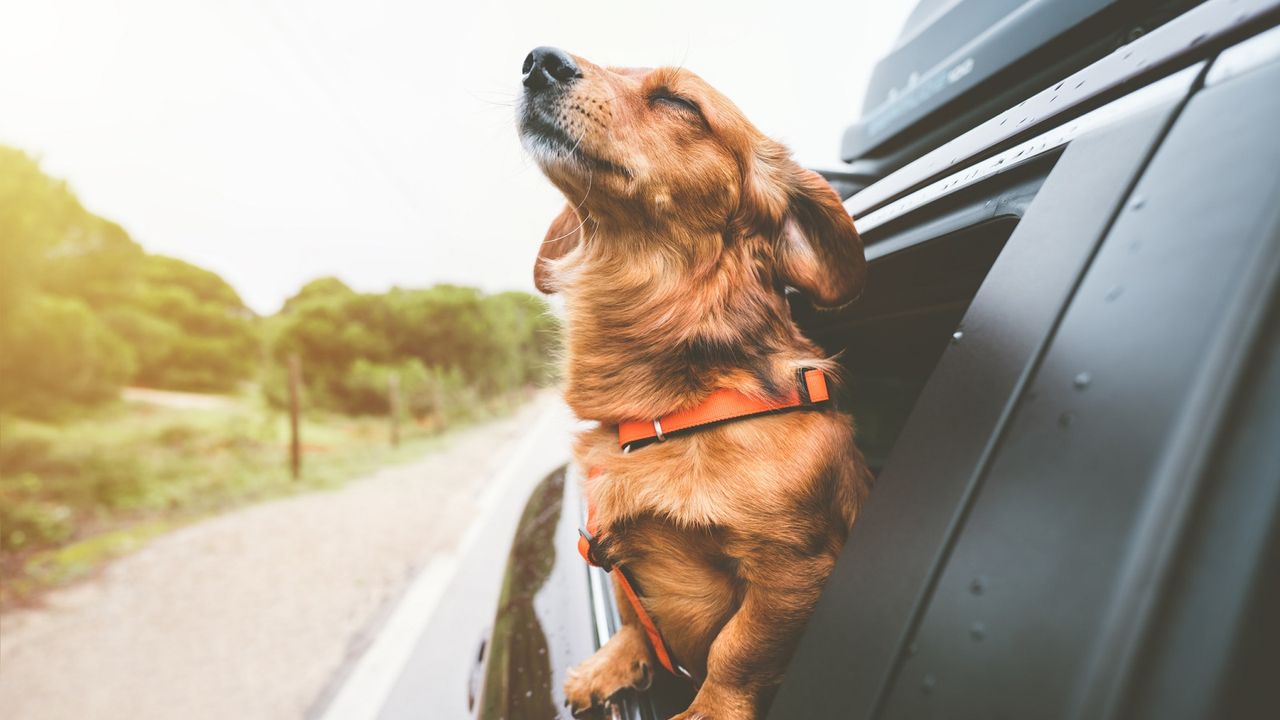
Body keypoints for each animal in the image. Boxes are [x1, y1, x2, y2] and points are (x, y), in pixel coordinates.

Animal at [517, 46, 870, 717]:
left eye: (679, 102)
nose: (538, 61)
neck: (668, 414)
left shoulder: (794, 569)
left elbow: (738, 650)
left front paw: (708, 708)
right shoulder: (613, 548)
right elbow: (636, 616)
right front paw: (613, 662)